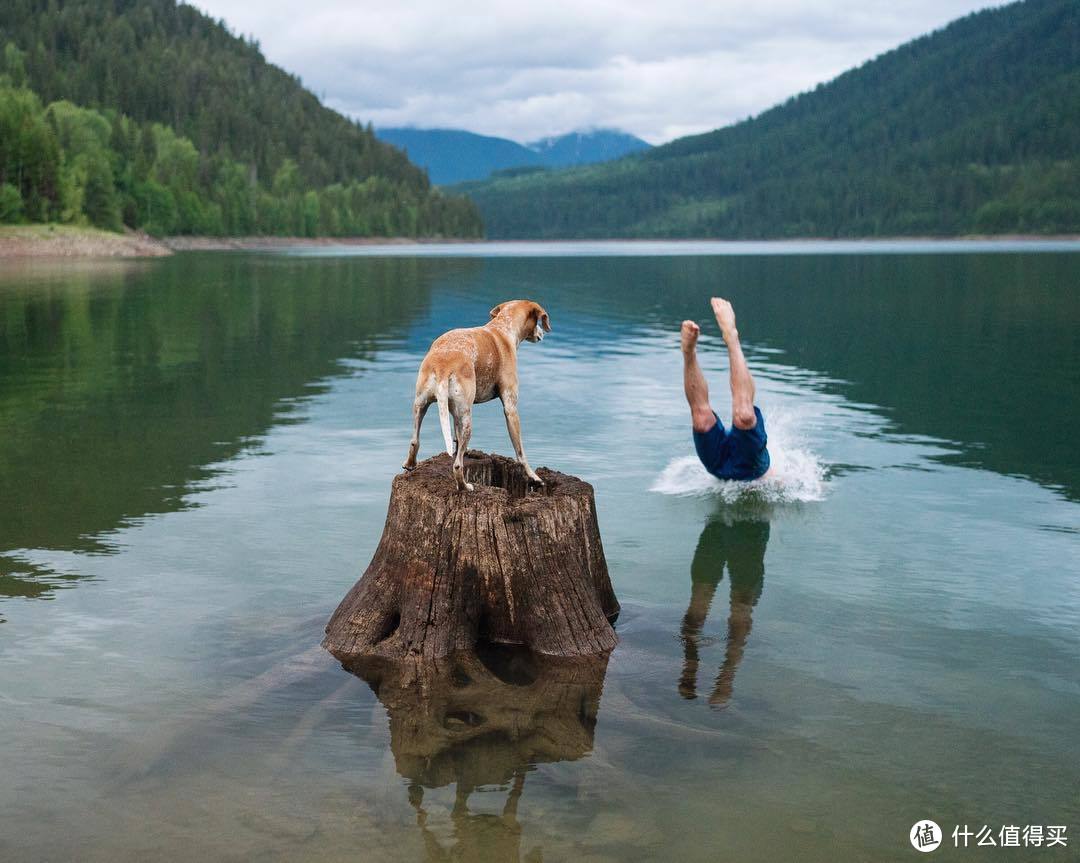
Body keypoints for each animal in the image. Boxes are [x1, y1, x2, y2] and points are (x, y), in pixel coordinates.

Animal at [406, 300, 557, 490]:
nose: (542, 333)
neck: (503, 327)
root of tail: (443, 365)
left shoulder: (453, 412)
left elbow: (456, 439)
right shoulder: (510, 408)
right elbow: (520, 452)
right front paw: (534, 477)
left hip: (422, 405)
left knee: (415, 441)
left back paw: (410, 464)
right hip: (467, 418)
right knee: (457, 465)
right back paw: (464, 486)